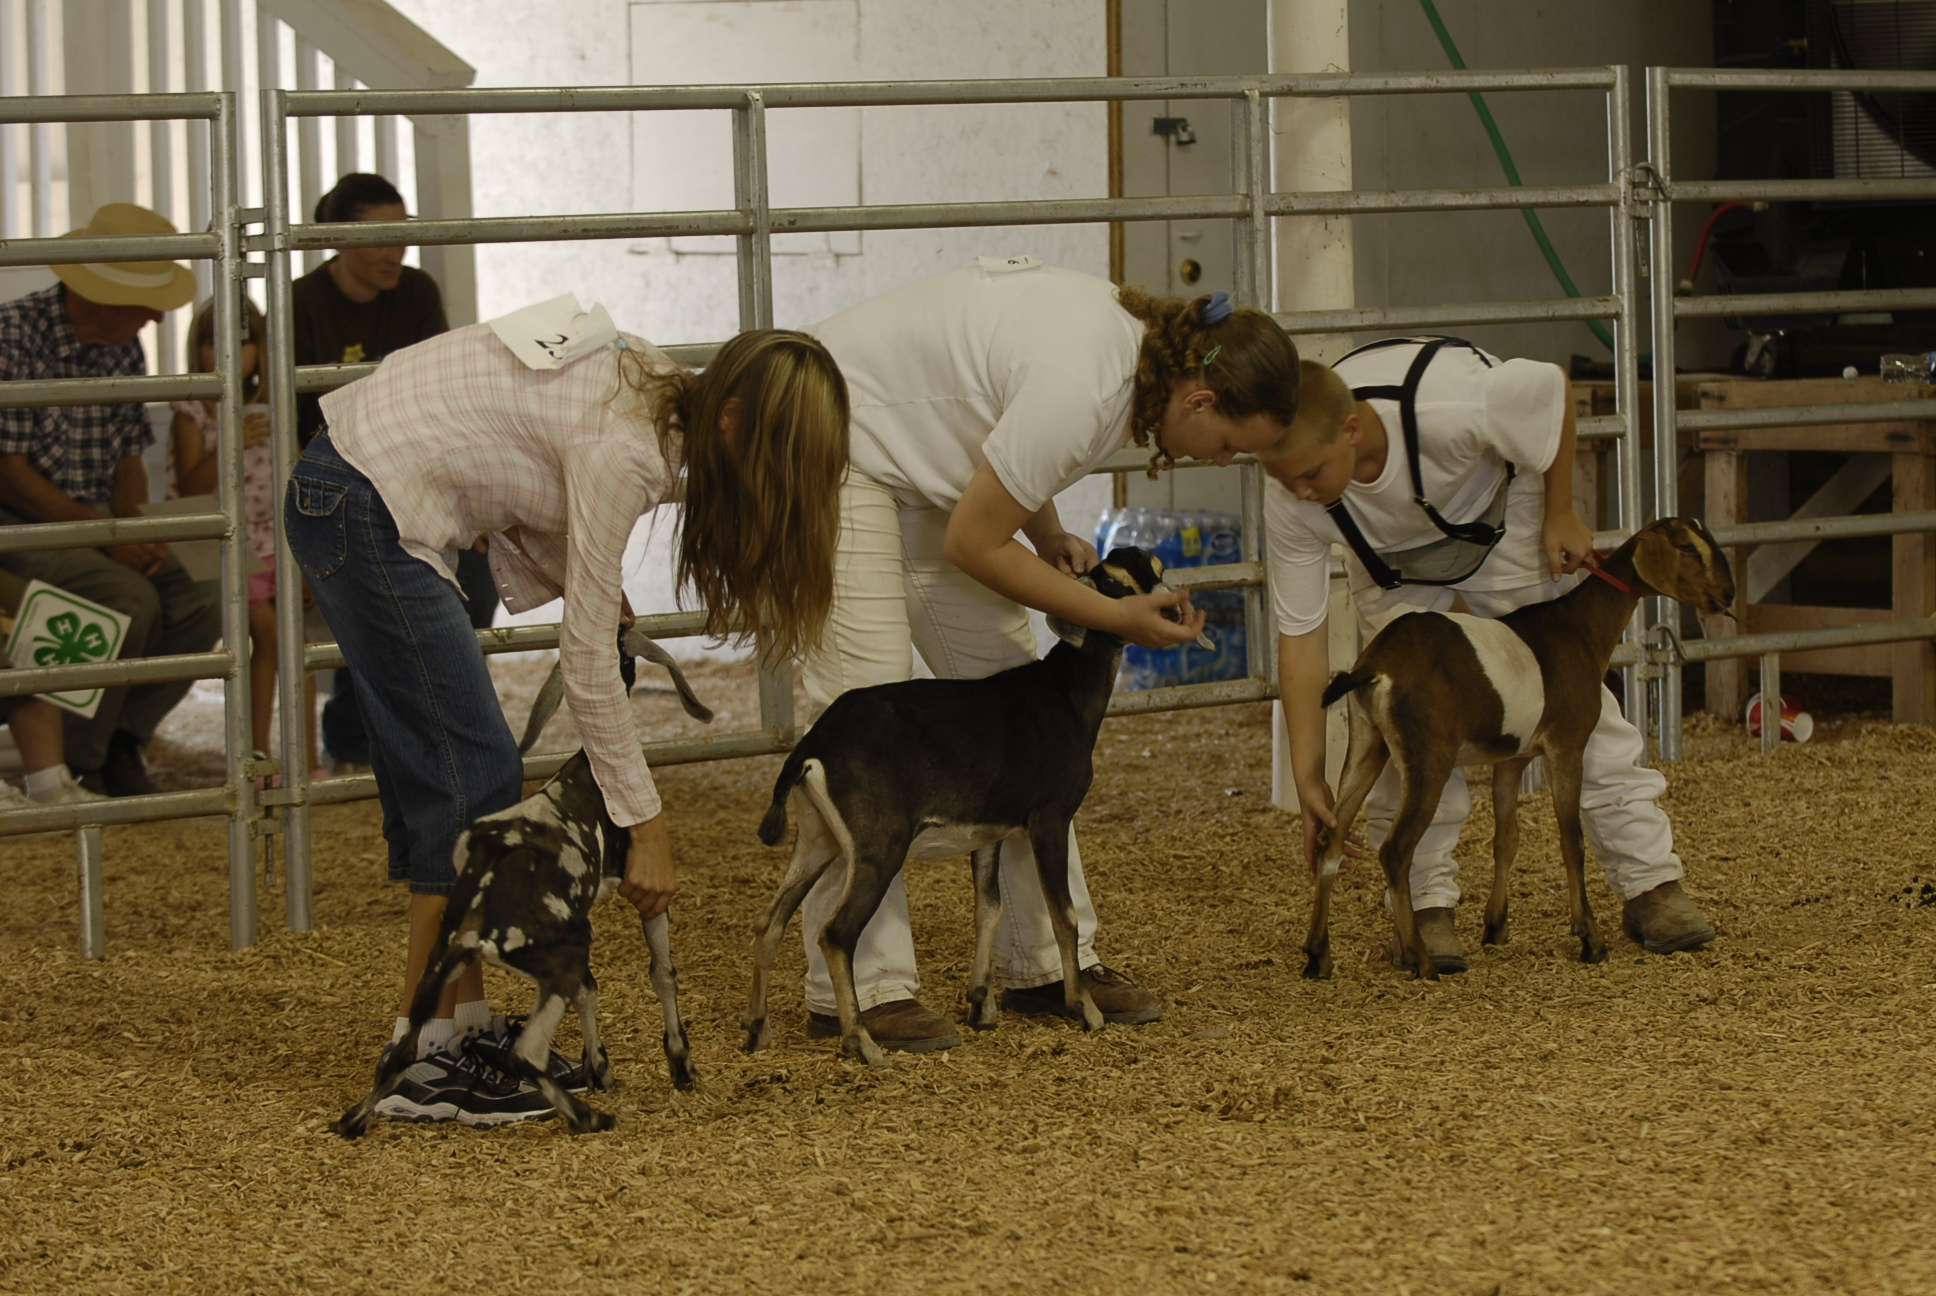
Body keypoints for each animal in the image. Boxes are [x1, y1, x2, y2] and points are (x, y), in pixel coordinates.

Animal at [333, 628, 711, 1138]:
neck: (590, 769)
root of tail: (477, 927)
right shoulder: (645, 891)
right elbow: (662, 973)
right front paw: (679, 1063)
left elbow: (591, 989)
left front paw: (600, 1067)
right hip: (559, 955)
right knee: (525, 1054)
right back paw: (588, 1117)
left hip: (441, 966)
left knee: (401, 1052)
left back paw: (353, 1120)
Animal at [740, 546, 1203, 1068]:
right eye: (1114, 584)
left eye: (1158, 570)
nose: (1172, 611)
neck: (1064, 692)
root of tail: (812, 747)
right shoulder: (1049, 820)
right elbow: (1063, 914)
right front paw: (1084, 1009)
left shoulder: (989, 832)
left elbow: (990, 909)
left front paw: (981, 1005)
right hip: (878, 844)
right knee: (836, 934)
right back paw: (862, 1042)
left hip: (819, 839)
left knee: (769, 921)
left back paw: (757, 1030)